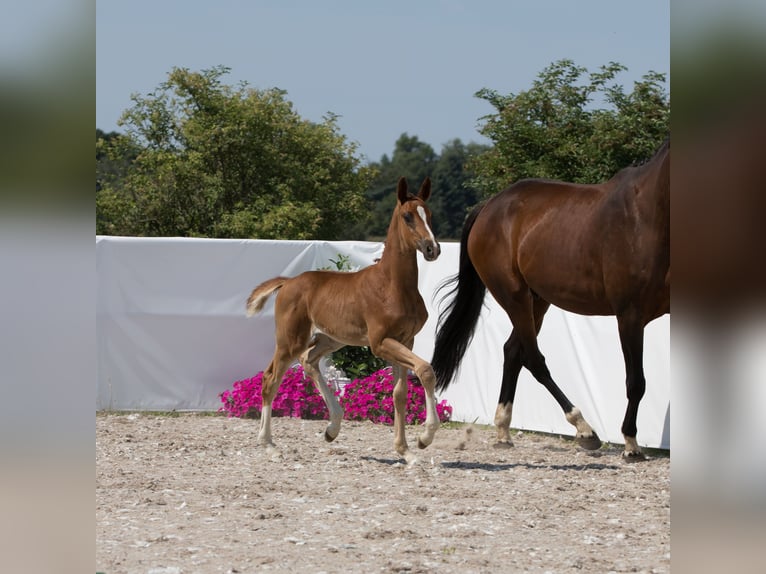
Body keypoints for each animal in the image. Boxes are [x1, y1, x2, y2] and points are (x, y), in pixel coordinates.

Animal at [249, 178, 440, 466]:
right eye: (407, 216)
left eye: (429, 214)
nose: (432, 249)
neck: (392, 286)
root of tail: (288, 282)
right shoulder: (380, 343)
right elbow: (426, 370)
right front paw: (424, 438)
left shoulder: (406, 340)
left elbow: (400, 393)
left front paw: (406, 451)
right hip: (290, 340)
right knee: (271, 378)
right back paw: (270, 445)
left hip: (330, 339)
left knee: (309, 360)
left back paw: (332, 428)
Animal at [436, 140, 668, 464]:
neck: (646, 216)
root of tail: (489, 206)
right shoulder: (630, 316)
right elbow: (636, 382)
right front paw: (631, 445)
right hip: (515, 298)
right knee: (533, 359)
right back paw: (585, 430)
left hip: (538, 302)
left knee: (513, 352)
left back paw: (503, 432)